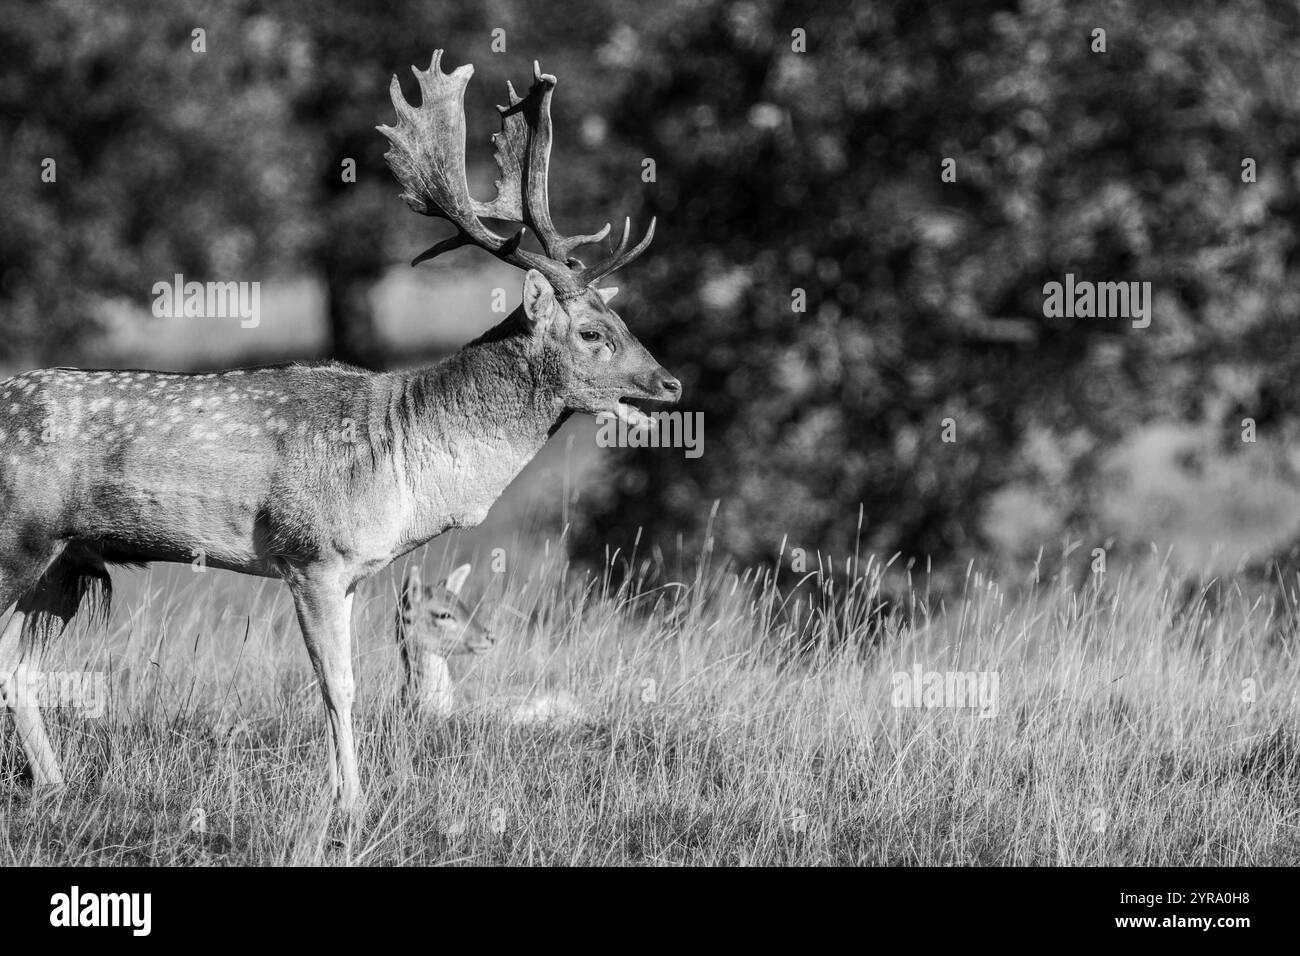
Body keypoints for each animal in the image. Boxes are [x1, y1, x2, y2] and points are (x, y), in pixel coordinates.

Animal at [0, 50, 679, 814]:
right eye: (592, 331)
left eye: (622, 321)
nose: (669, 385)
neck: (403, 459)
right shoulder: (312, 552)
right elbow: (338, 683)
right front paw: (352, 801)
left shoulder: (353, 570)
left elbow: (344, 678)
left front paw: (341, 790)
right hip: (17, 540)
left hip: (66, 562)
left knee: (18, 671)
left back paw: (56, 785)